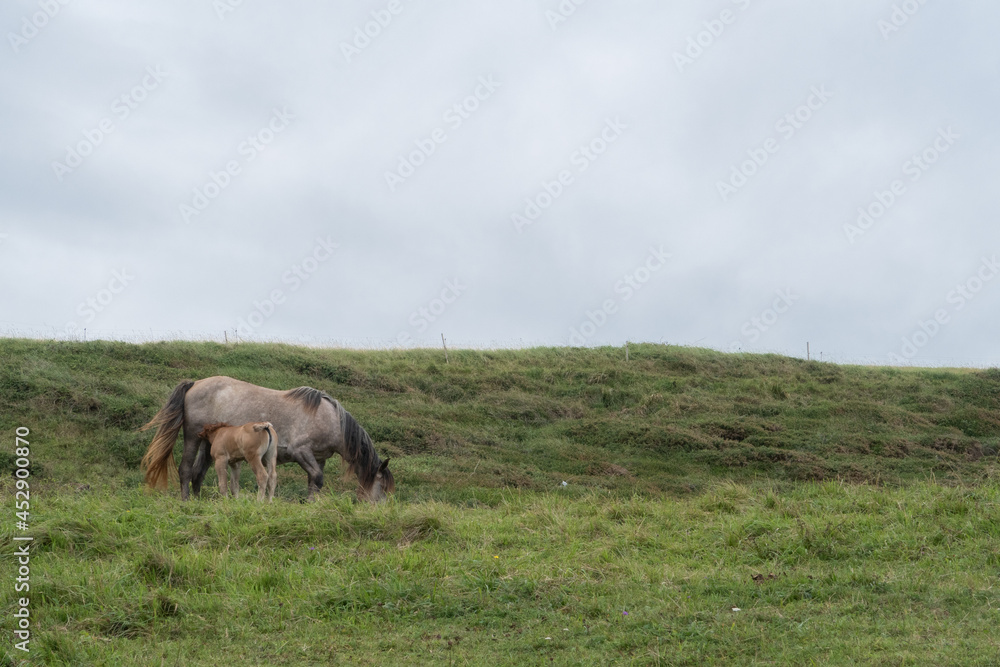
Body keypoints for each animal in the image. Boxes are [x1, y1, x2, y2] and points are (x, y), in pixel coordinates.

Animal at [140, 376, 394, 502]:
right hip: (192, 437)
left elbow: (314, 481)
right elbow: (317, 479)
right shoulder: (302, 452)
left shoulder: (319, 458)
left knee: (197, 473)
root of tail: (196, 383)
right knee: (185, 470)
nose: (380, 511)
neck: (330, 418)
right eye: (381, 487)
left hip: (208, 444)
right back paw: (186, 502)